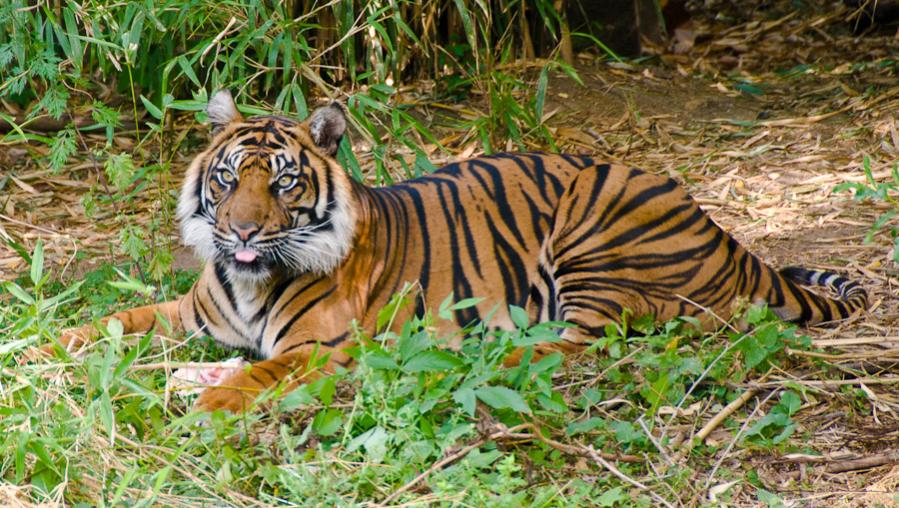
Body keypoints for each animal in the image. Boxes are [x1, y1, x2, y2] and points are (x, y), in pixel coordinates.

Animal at [50, 90, 868, 412]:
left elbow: (259, 375)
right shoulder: (190, 314)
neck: (248, 279)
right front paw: (43, 347)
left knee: (578, 343)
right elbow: (109, 323)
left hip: (593, 232)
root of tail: (725, 236)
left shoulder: (321, 346)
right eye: (227, 179)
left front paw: (212, 404)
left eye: (283, 182)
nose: (245, 232)